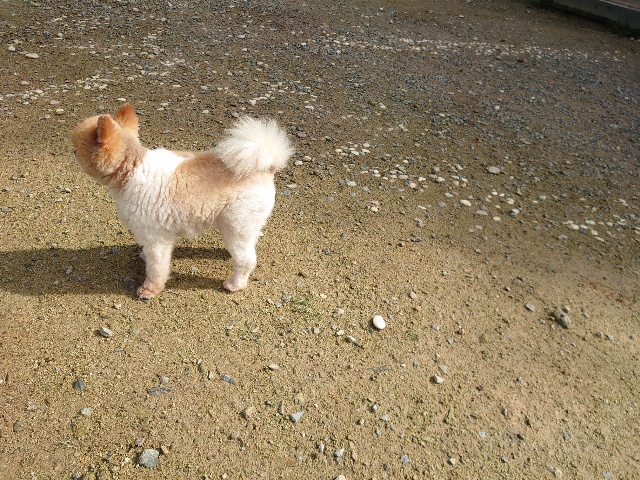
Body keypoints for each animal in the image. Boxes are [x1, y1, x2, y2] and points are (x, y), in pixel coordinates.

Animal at [71, 104, 293, 300]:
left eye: (76, 148)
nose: (71, 150)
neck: (130, 169)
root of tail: (265, 166)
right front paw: (143, 256)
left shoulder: (157, 238)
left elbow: (157, 269)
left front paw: (149, 290)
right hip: (243, 224)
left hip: (237, 225)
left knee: (246, 260)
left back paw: (234, 284)